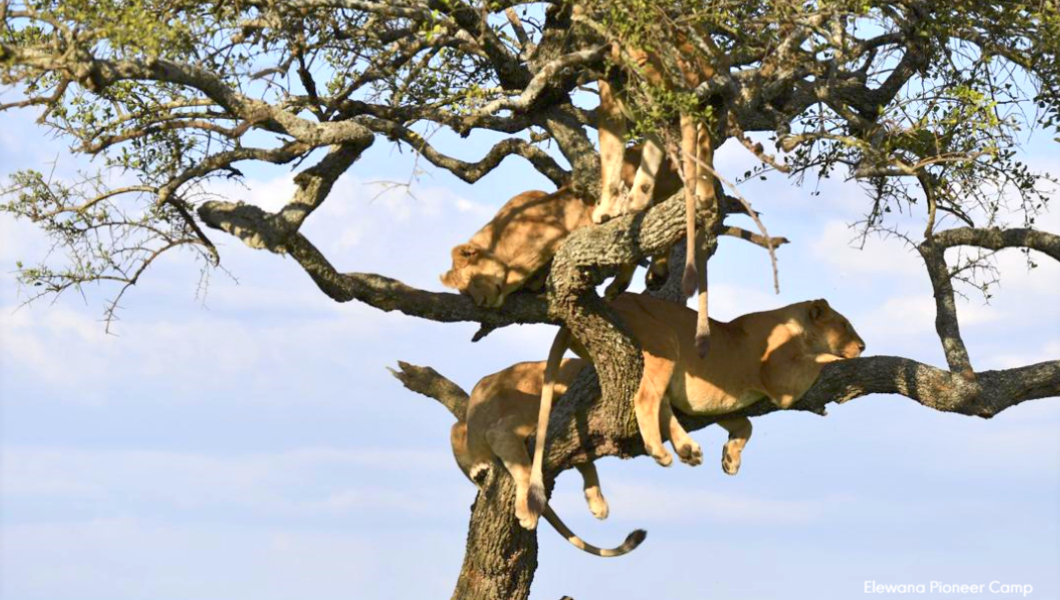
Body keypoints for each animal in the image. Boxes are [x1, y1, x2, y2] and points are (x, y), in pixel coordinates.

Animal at [449, 360, 644, 555]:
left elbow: (586, 463)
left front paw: (597, 502)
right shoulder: (501, 431)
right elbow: (525, 472)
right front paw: (527, 509)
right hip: (460, 429)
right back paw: (479, 470)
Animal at [525, 294, 864, 530]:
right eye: (845, 324)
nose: (862, 345)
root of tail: (611, 300)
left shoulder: (722, 403)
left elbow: (746, 426)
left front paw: (730, 459)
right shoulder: (780, 381)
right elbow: (819, 360)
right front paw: (843, 359)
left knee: (662, 405)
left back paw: (688, 449)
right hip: (663, 340)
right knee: (645, 399)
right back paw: (661, 451)